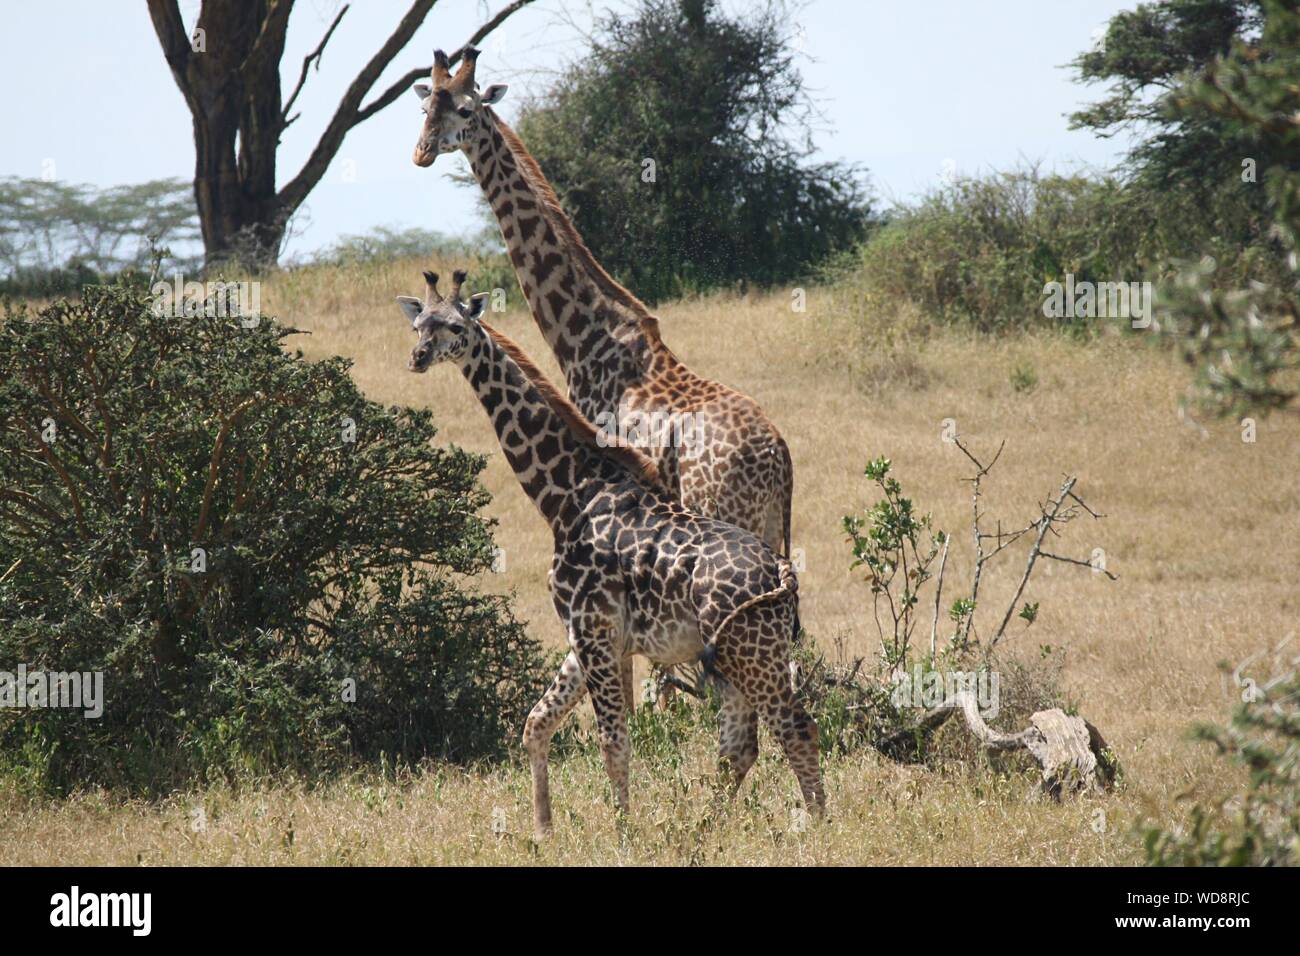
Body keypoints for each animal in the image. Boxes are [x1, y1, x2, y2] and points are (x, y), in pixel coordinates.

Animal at [397, 268, 823, 838]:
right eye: (419, 324)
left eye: (455, 326)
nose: (419, 356)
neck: (566, 495)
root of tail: (780, 571)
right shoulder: (586, 634)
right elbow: (537, 723)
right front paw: (542, 830)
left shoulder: (594, 631)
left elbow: (613, 742)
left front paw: (623, 832)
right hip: (742, 656)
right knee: (741, 743)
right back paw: (701, 830)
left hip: (753, 654)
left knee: (795, 728)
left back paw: (818, 826)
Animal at [411, 48, 798, 701]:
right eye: (423, 107)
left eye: (464, 109)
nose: (420, 153)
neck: (584, 335)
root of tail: (779, 458)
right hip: (769, 529)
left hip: (725, 511)